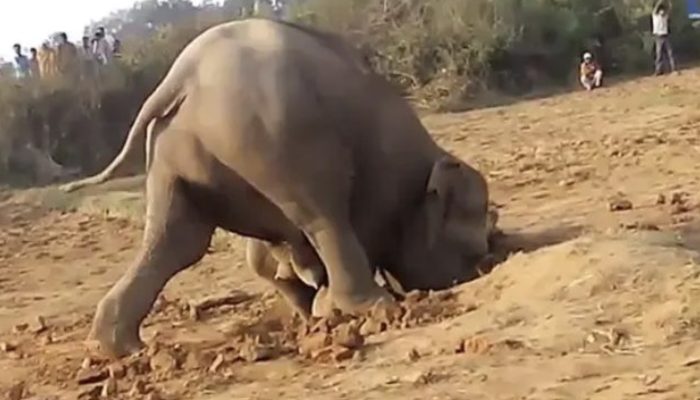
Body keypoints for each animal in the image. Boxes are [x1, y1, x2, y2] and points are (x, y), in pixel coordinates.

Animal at [59, 18, 491, 358]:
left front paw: (314, 307)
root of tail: (181, 76)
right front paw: (328, 308)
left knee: (178, 241)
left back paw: (121, 348)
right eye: (476, 246)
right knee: (323, 215)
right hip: (277, 136)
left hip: (175, 150)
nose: (490, 261)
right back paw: (376, 309)